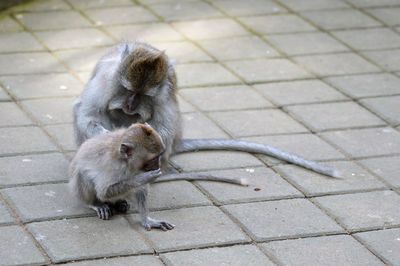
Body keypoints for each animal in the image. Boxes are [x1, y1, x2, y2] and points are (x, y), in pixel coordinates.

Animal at [69, 123, 244, 230]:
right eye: (153, 159)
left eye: (160, 155)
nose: (159, 165)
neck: (127, 163)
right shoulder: (113, 167)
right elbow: (104, 191)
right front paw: (143, 178)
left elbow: (140, 191)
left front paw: (147, 220)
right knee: (83, 175)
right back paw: (94, 203)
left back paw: (120, 202)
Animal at [73, 42, 340, 179]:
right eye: (128, 90)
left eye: (143, 96)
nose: (130, 106)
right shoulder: (108, 79)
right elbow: (88, 114)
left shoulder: (163, 91)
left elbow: (163, 127)